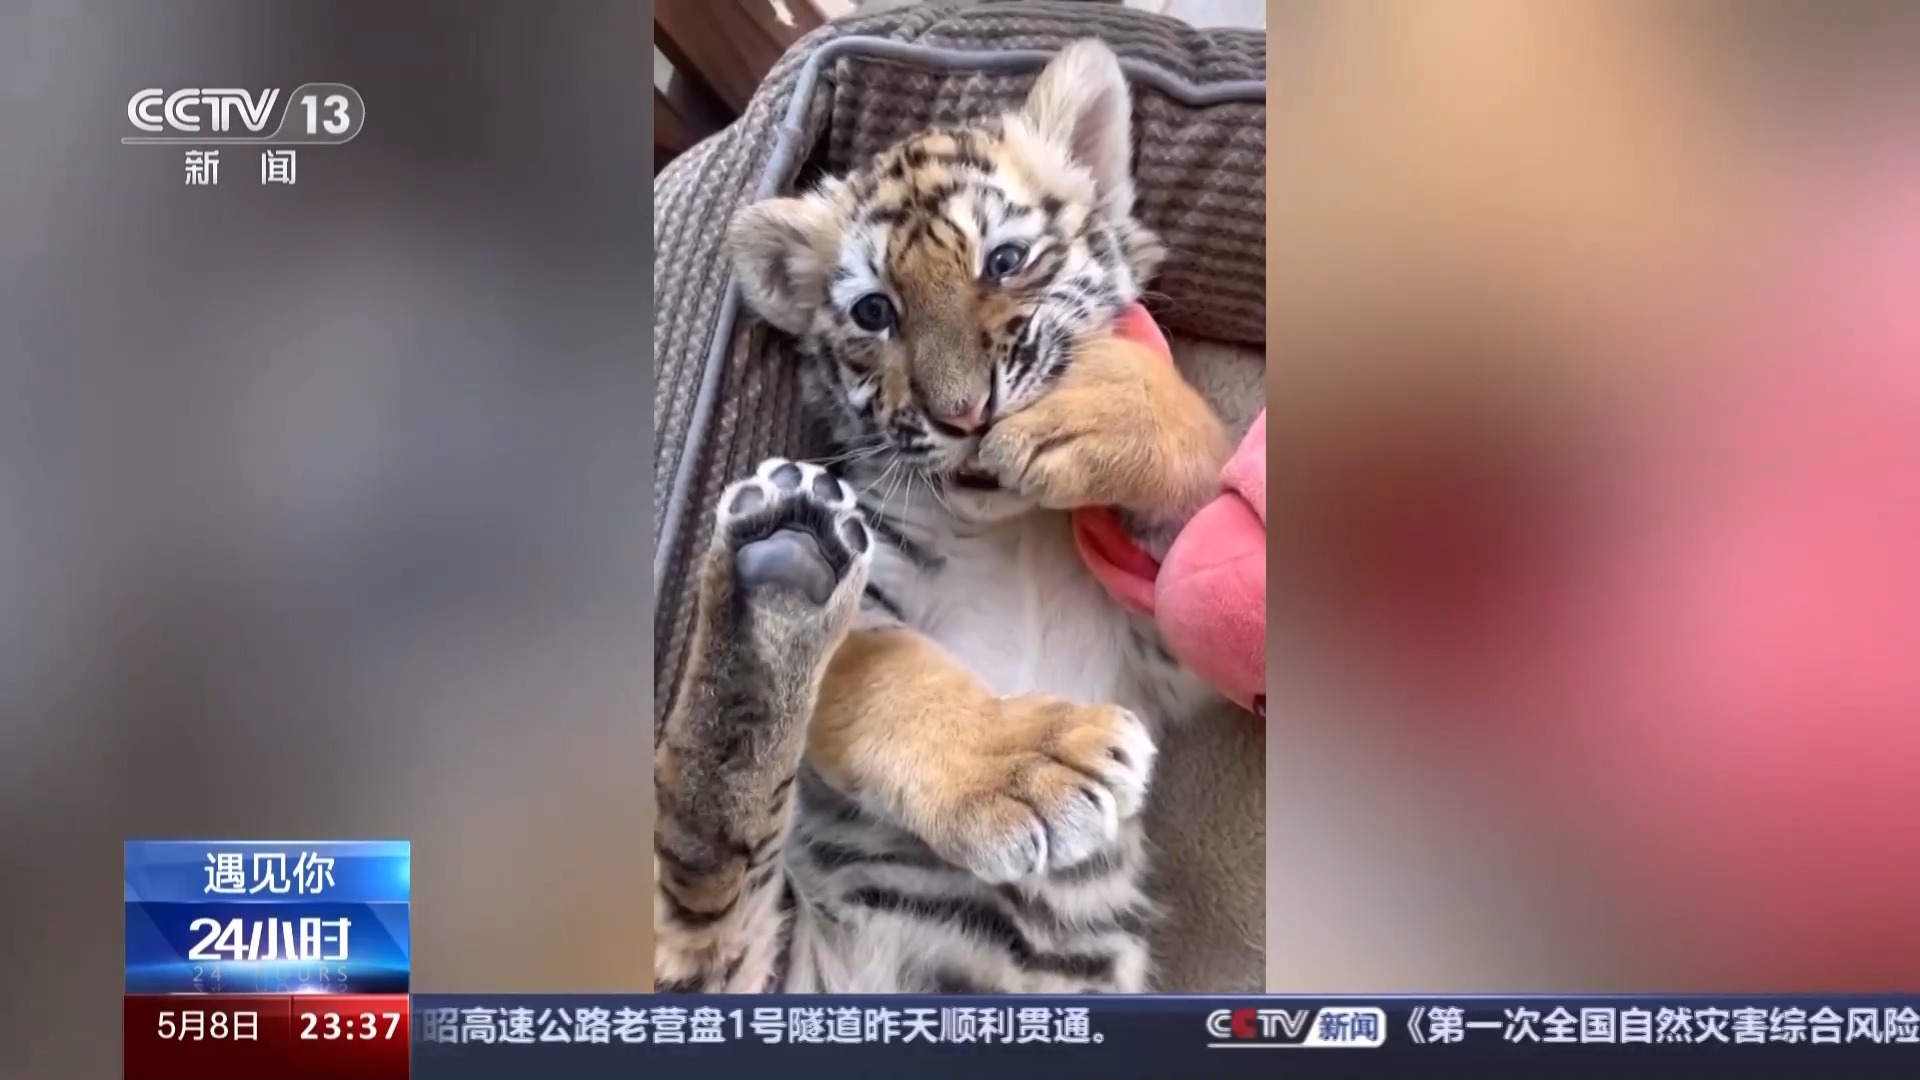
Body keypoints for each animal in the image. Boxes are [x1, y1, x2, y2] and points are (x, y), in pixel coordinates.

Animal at [654, 39, 1233, 994]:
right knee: (701, 898)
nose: (964, 416)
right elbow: (892, 677)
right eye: (874, 312)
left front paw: (1107, 407)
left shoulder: (1161, 644)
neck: (1011, 526)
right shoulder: (876, 588)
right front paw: (1034, 765)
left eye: (1004, 260)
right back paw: (780, 573)